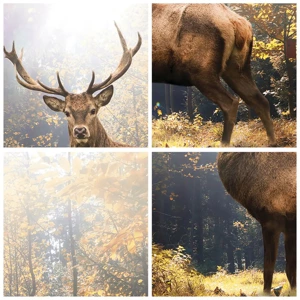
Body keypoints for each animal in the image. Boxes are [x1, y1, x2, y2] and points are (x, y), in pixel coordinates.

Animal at [154, 3, 276, 146]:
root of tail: (238, 23)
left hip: (201, 72)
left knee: (230, 102)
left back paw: (224, 144)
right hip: (237, 68)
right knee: (260, 100)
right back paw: (273, 142)